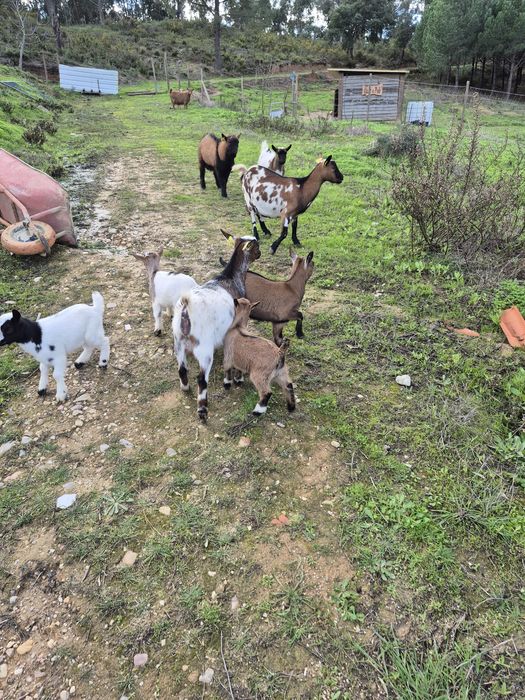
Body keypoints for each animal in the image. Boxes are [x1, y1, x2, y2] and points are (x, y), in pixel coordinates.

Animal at [172, 230, 260, 421]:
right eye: (256, 245)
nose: (260, 254)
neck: (230, 277)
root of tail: (186, 307)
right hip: (204, 348)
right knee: (201, 379)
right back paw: (202, 410)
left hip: (178, 341)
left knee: (182, 369)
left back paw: (185, 388)